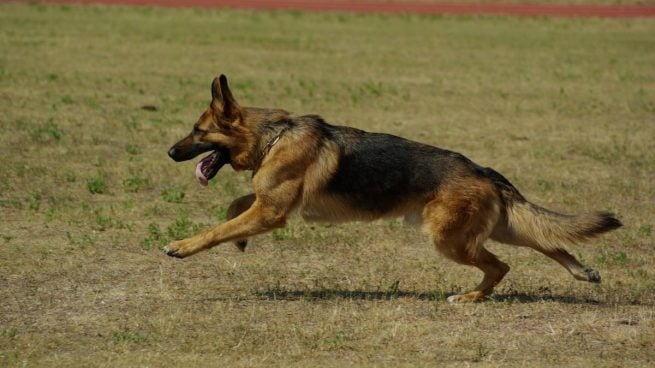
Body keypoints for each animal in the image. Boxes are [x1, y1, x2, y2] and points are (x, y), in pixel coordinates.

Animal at [167, 74, 624, 302]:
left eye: (198, 131)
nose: (170, 152)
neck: (273, 135)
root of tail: (484, 170)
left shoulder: (271, 212)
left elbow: (218, 228)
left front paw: (183, 246)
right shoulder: (268, 205)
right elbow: (235, 207)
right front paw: (240, 241)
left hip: (451, 239)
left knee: (501, 266)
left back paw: (471, 298)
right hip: (495, 228)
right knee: (547, 240)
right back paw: (581, 271)